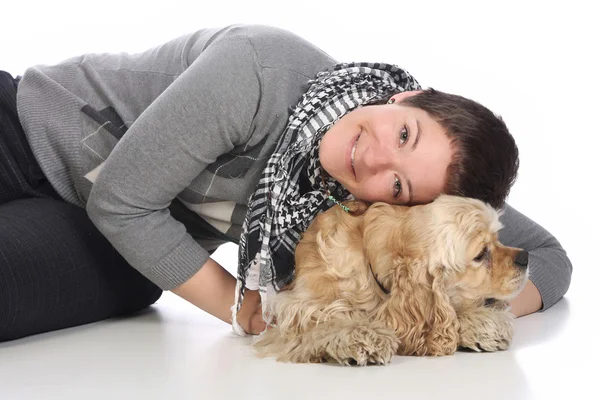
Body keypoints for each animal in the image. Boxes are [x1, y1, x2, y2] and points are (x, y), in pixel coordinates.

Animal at [253, 195, 528, 366]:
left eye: (497, 239)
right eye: (481, 255)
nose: (525, 257)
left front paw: (485, 323)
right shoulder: (295, 307)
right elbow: (329, 318)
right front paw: (363, 336)